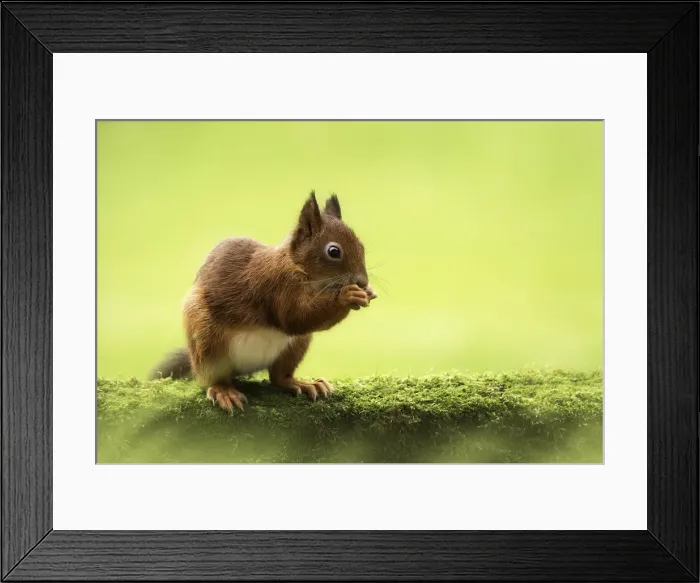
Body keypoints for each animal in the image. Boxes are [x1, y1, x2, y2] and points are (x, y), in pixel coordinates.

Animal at [150, 191, 377, 413]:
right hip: (206, 342)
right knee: (210, 378)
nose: (362, 282)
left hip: (295, 346)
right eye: (334, 251)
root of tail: (245, 369)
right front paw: (348, 296)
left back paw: (302, 384)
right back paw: (224, 391)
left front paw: (367, 292)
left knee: (279, 377)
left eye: (361, 246)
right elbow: (295, 317)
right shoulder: (276, 286)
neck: (297, 266)